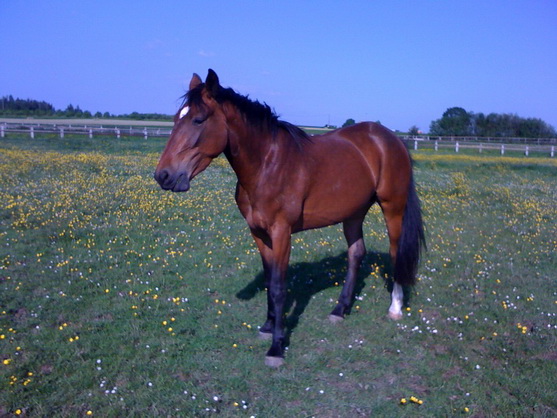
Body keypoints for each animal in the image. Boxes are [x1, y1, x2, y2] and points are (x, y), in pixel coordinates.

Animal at [154, 70, 424, 368]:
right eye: (176, 118)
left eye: (199, 119)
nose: (163, 175)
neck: (267, 165)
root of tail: (391, 138)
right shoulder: (259, 234)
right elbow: (269, 281)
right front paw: (268, 327)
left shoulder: (281, 232)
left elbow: (279, 286)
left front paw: (276, 348)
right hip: (354, 213)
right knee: (356, 254)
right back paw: (339, 309)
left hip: (392, 207)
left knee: (396, 253)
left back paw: (395, 308)